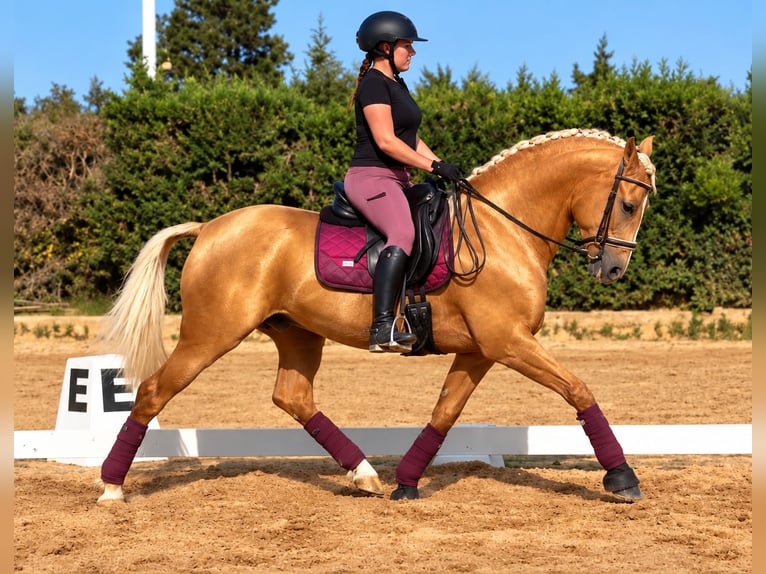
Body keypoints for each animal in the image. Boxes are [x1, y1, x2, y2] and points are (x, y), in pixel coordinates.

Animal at [96, 128, 656, 504]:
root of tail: (210, 226)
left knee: (292, 397)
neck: (503, 230)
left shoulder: (482, 350)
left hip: (297, 334)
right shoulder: (508, 342)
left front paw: (406, 483)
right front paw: (622, 478)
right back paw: (111, 487)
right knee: (153, 391)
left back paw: (364, 474)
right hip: (211, 335)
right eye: (629, 205)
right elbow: (578, 390)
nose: (613, 268)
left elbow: (445, 413)